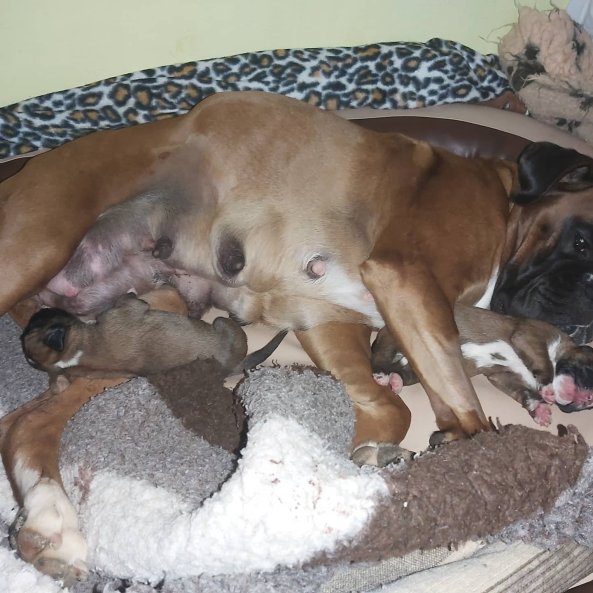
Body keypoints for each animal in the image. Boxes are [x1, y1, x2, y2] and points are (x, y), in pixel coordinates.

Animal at [372, 304, 593, 434]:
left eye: (587, 407)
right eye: (589, 371)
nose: (588, 399)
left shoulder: (502, 376)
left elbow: (523, 393)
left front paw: (539, 410)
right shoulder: (529, 336)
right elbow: (543, 363)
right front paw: (547, 389)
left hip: (418, 370)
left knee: (404, 373)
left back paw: (395, 380)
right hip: (394, 339)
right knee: (379, 355)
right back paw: (381, 373)